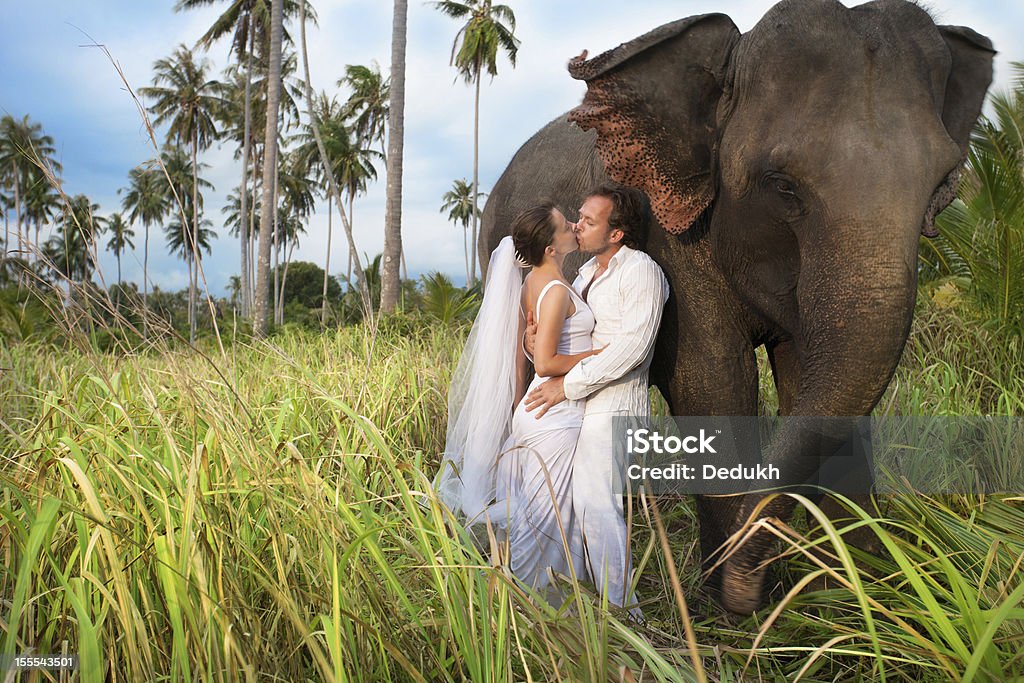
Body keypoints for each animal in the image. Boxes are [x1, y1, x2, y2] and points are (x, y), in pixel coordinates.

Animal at [477, 0, 991, 614]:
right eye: (782, 185)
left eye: (943, 183)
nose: (750, 580)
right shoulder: (671, 235)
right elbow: (712, 379)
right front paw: (732, 605)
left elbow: (812, 378)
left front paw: (858, 596)